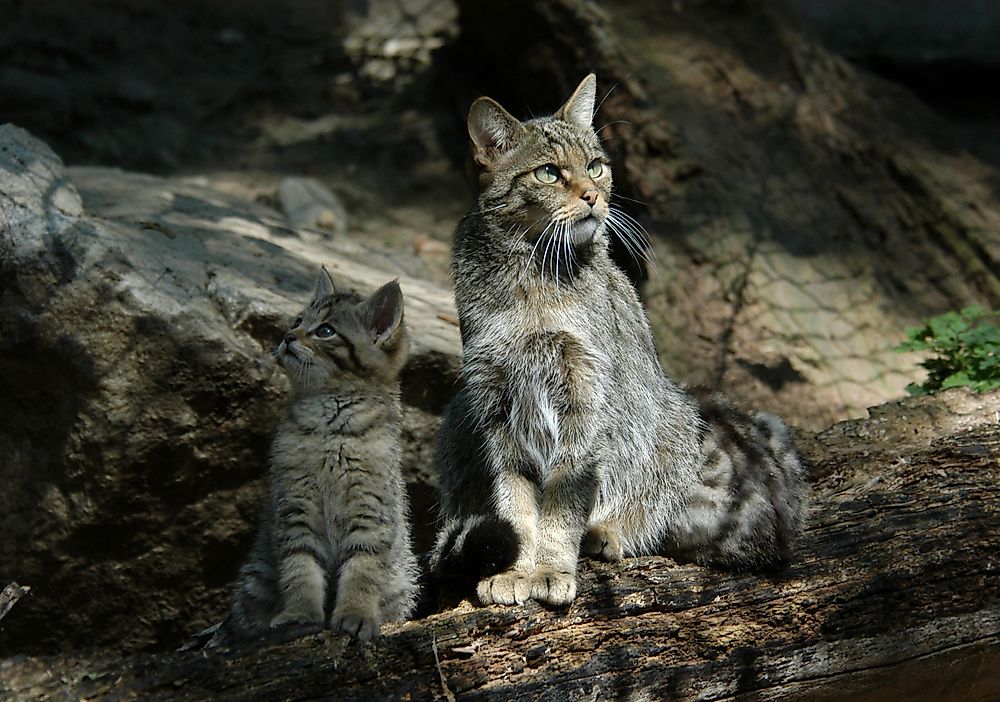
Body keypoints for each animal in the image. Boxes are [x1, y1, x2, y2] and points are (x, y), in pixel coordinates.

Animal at [209, 270, 416, 644]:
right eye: (297, 321)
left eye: (326, 331)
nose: (287, 336)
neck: (328, 424)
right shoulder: (295, 509)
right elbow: (300, 569)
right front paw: (298, 614)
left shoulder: (370, 511)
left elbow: (362, 570)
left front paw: (356, 614)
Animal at [430, 74, 804, 608]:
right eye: (548, 173)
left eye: (595, 166)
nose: (593, 196)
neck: (532, 277)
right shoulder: (494, 402)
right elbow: (515, 502)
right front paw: (518, 569)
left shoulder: (584, 396)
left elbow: (563, 500)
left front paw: (551, 567)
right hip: (460, 414)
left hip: (670, 418)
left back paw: (610, 531)